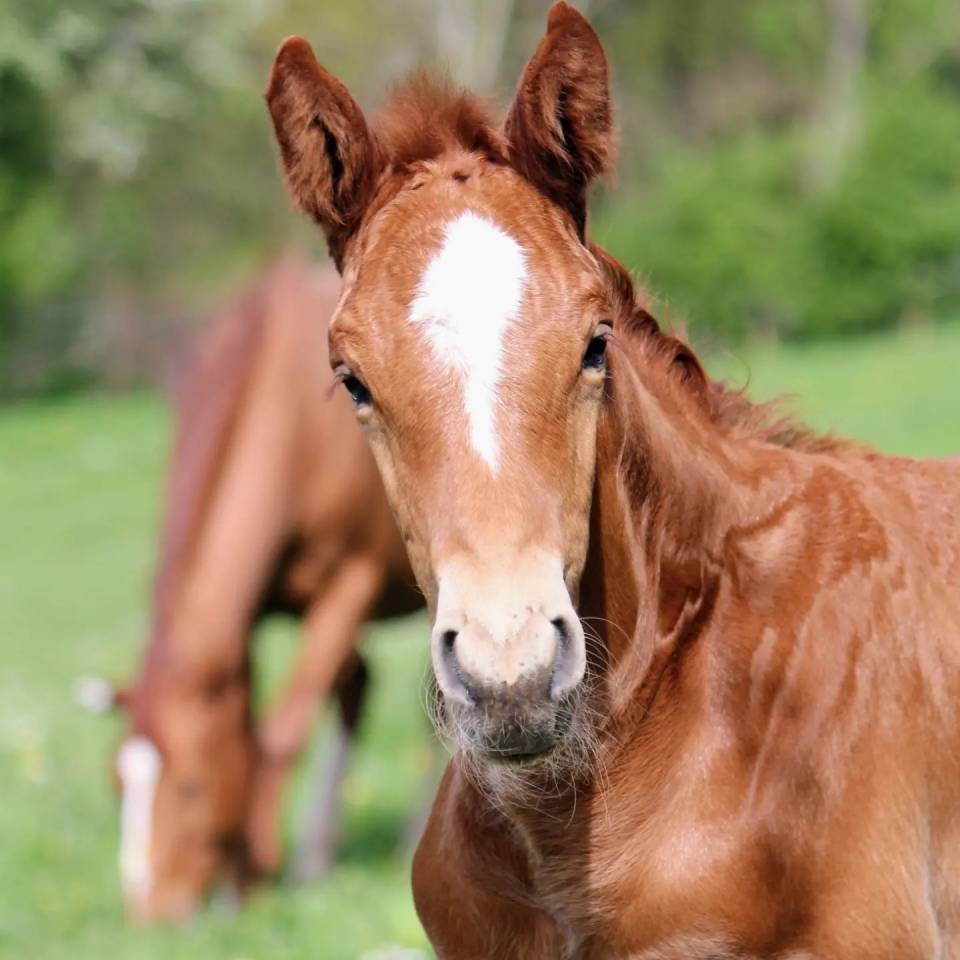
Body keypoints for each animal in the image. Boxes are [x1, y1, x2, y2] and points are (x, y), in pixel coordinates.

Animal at [95, 254, 422, 921]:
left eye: (189, 788)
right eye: (117, 785)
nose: (150, 912)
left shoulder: (353, 581)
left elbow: (283, 729)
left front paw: (251, 872)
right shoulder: (241, 621)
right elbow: (245, 724)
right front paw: (247, 874)